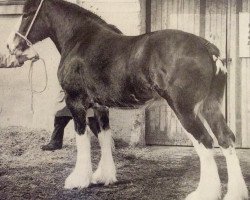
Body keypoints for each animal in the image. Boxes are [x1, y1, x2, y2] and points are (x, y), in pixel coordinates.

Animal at [5, 0, 248, 199]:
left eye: (26, 14)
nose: (10, 47)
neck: (80, 39)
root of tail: (209, 50)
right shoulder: (100, 106)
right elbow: (103, 137)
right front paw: (104, 176)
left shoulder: (76, 102)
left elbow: (82, 138)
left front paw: (78, 180)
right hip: (210, 106)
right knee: (225, 138)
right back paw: (235, 193)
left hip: (185, 110)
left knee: (205, 142)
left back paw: (204, 193)